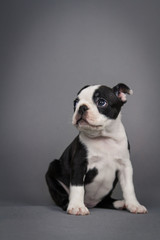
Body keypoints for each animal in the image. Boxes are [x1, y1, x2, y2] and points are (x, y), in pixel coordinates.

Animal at [45, 83, 148, 216]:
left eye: (101, 102)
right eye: (75, 102)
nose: (82, 107)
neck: (103, 138)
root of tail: (90, 203)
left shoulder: (125, 166)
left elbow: (129, 188)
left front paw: (134, 205)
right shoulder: (79, 164)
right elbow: (77, 186)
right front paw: (77, 206)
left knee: (104, 202)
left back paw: (120, 203)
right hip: (52, 170)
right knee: (62, 197)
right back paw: (69, 204)